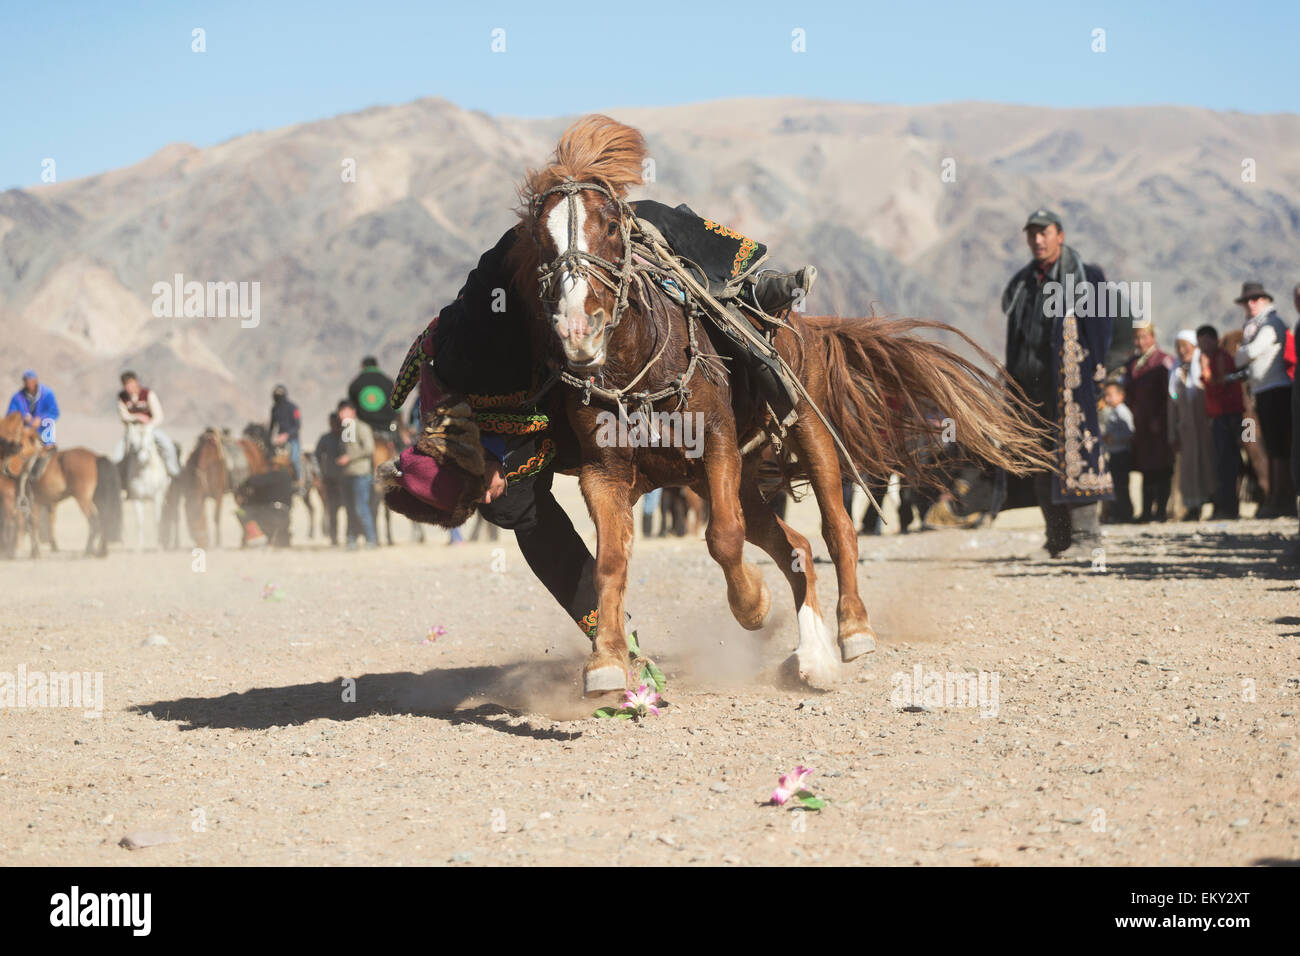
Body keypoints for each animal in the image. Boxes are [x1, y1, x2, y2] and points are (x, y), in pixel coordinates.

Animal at [509, 117, 1055, 697]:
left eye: (612, 226)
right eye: (540, 238)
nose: (577, 329)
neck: (641, 366)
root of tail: (804, 327)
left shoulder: (719, 444)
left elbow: (724, 539)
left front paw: (752, 604)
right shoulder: (605, 474)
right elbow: (610, 564)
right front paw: (606, 661)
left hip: (807, 432)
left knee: (837, 531)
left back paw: (852, 631)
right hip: (738, 480)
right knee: (795, 547)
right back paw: (813, 656)